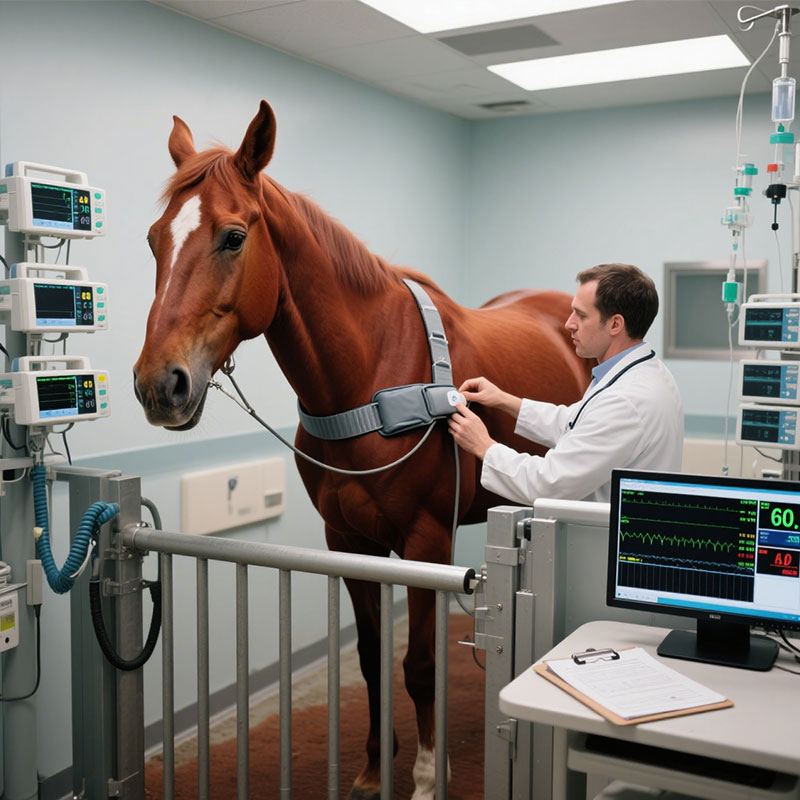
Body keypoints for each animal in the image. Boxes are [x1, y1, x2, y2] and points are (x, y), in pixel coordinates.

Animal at [133, 100, 591, 800]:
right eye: (155, 238)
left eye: (233, 237)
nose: (160, 385)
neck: (367, 377)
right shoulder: (347, 539)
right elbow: (373, 658)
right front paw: (376, 769)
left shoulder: (427, 539)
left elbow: (420, 662)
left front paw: (428, 775)